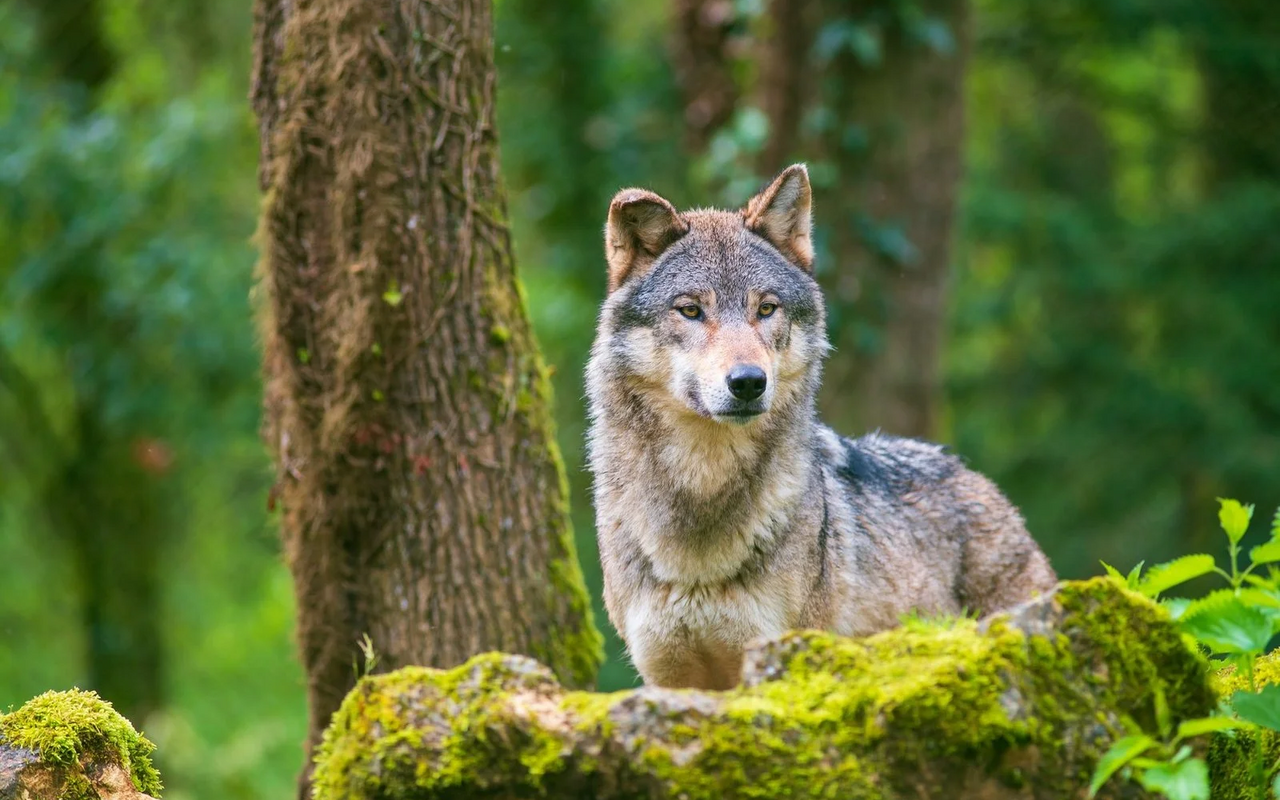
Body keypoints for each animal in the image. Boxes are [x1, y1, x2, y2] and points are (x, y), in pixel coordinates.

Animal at [585, 164, 1058, 691]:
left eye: (766, 309)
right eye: (690, 310)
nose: (748, 382)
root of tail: (968, 473)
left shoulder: (781, 658)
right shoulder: (669, 680)